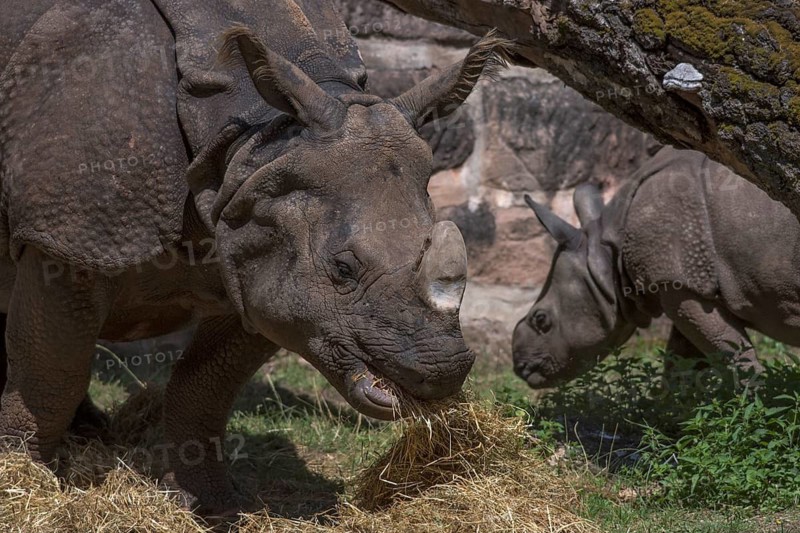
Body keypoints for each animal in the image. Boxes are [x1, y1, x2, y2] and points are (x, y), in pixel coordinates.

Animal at [0, 0, 508, 515]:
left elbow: (205, 387)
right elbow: (51, 369)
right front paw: (24, 480)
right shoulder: (64, 239)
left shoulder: (257, 253)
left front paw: (208, 502)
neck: (253, 135)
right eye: (343, 269)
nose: (441, 370)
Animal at [512, 146, 800, 389]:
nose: (521, 368)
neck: (604, 256)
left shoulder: (679, 281)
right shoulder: (681, 283)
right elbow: (682, 359)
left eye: (541, 319)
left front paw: (754, 404)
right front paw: (673, 412)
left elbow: (732, 354)